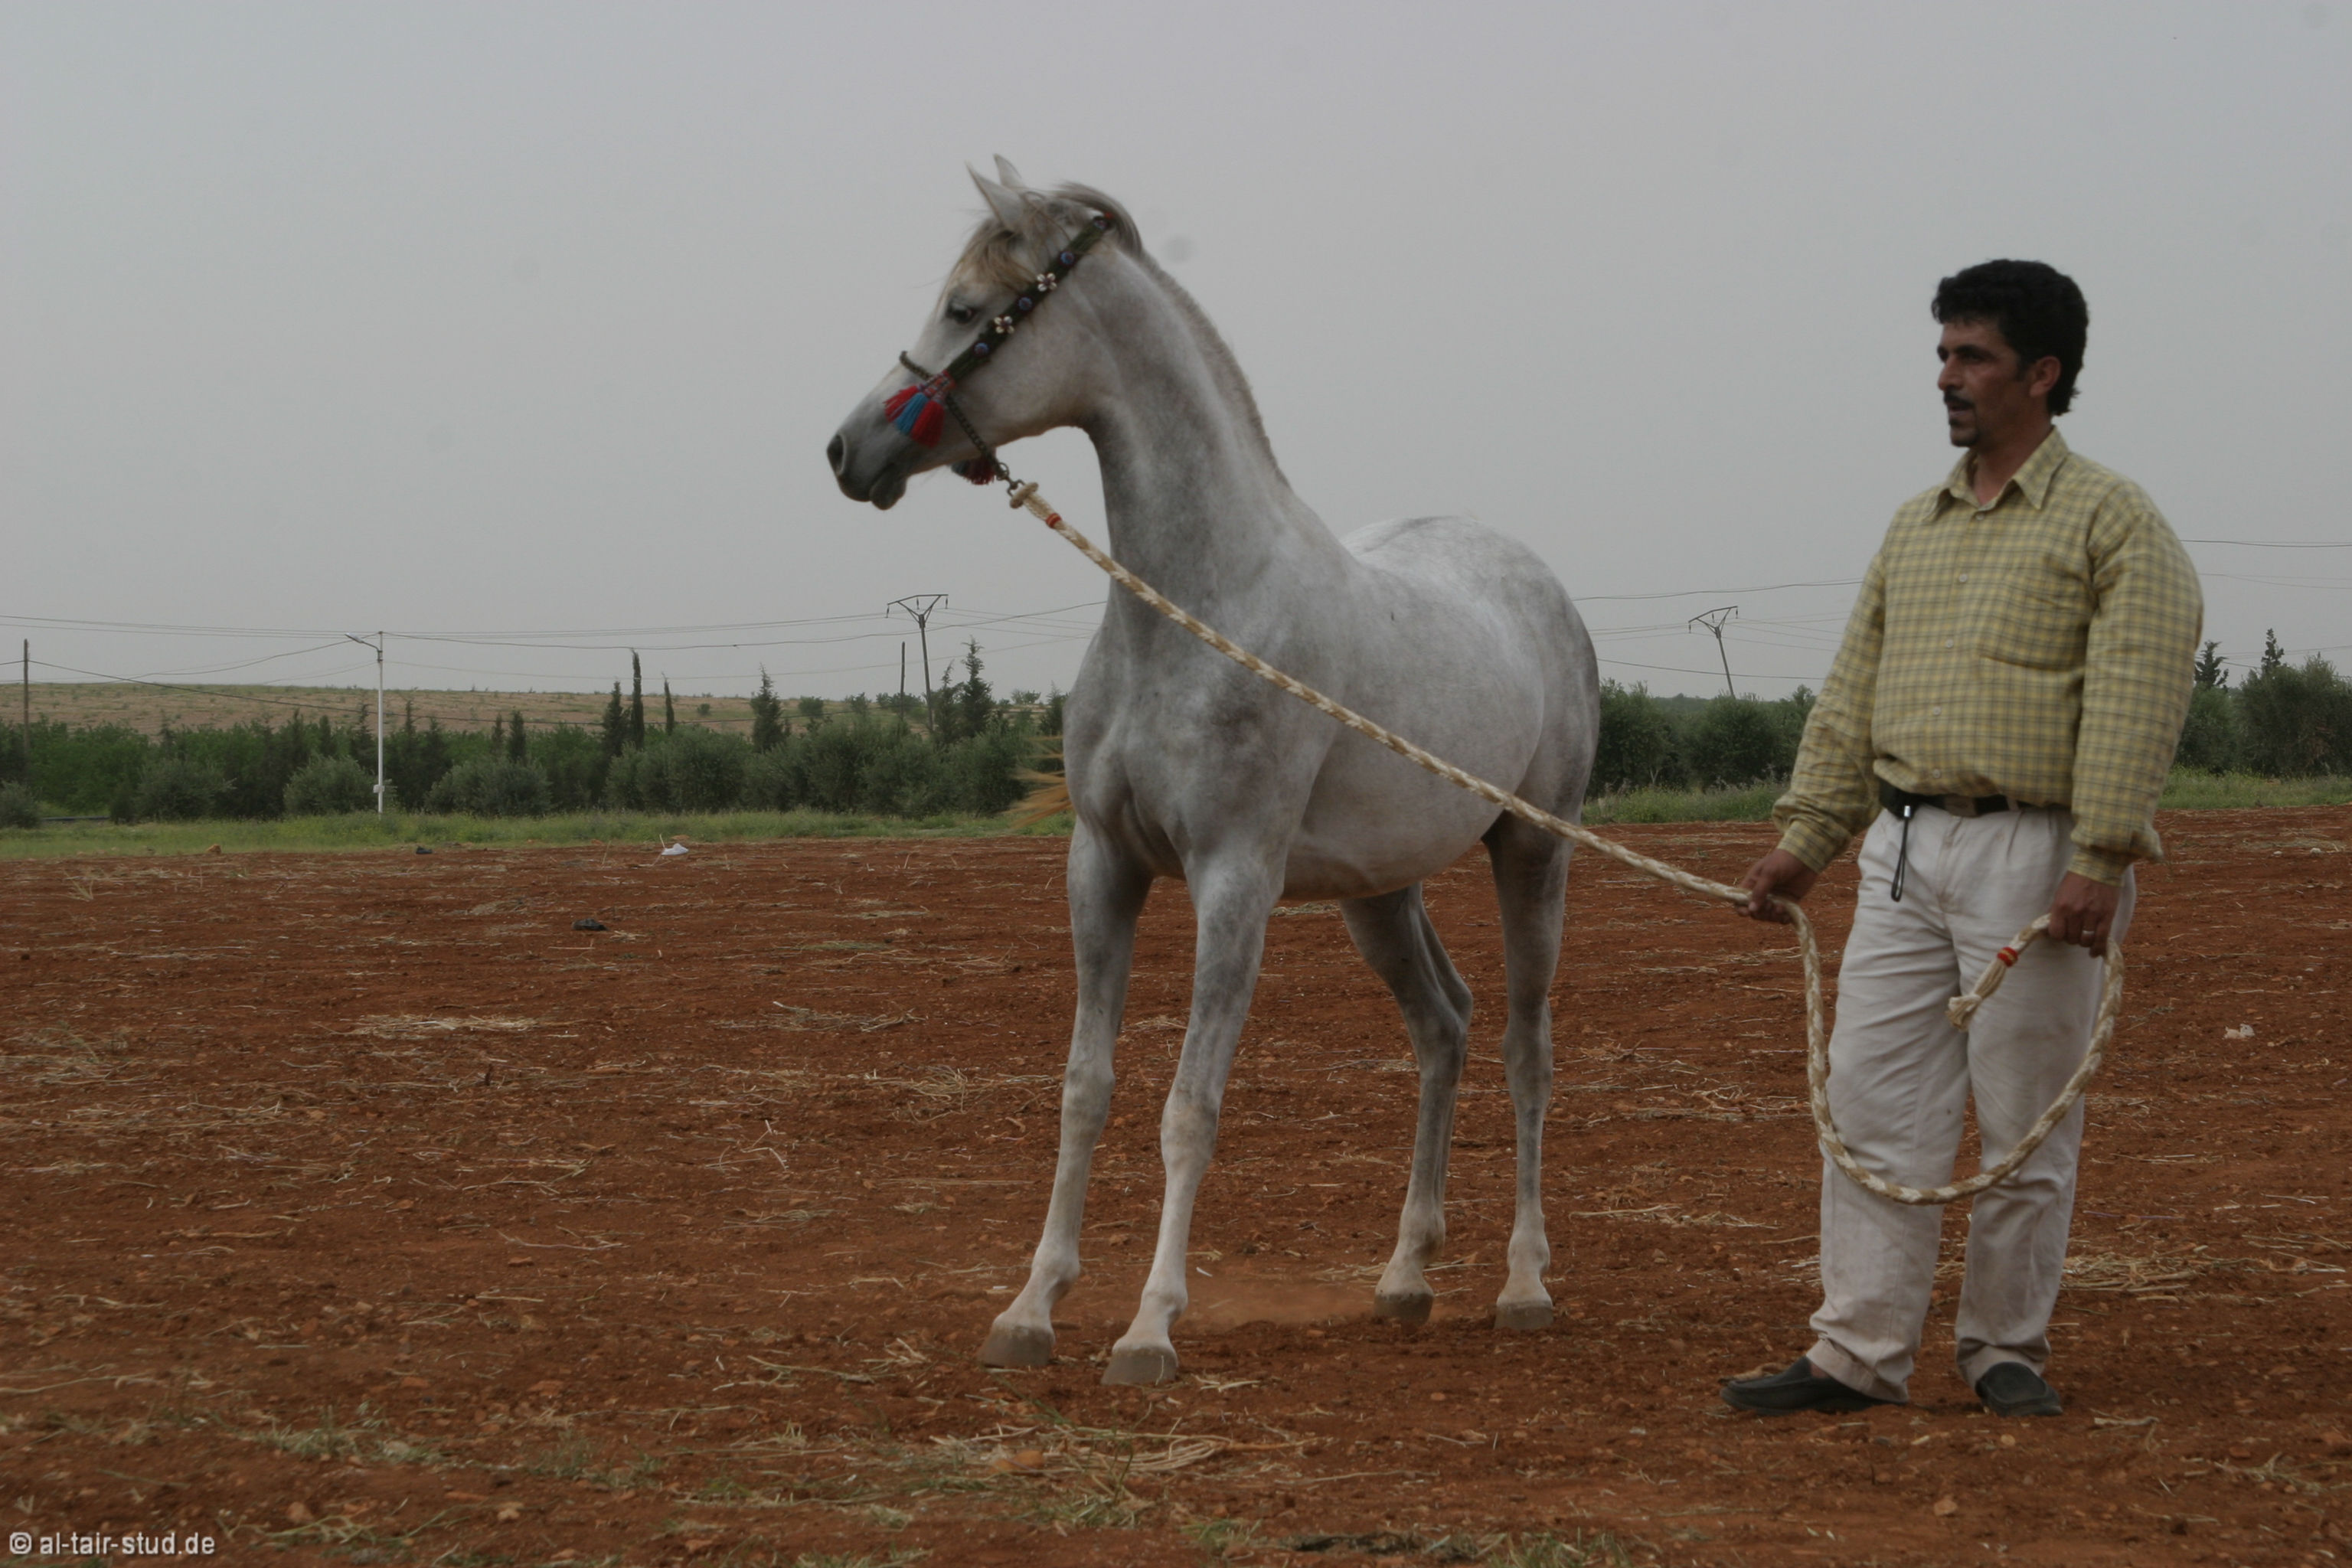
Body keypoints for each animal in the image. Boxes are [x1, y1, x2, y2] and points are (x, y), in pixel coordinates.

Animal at [827, 161, 1600, 1386]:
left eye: (964, 308)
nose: (849, 450)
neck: (1196, 605)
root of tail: (1541, 589)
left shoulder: (1234, 881)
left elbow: (1190, 1104)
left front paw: (1150, 1326)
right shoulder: (1103, 866)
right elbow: (1085, 1089)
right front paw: (1031, 1307)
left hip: (1535, 851)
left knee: (1528, 1048)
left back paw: (1523, 1283)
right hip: (1382, 895)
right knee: (1446, 1027)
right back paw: (1405, 1275)